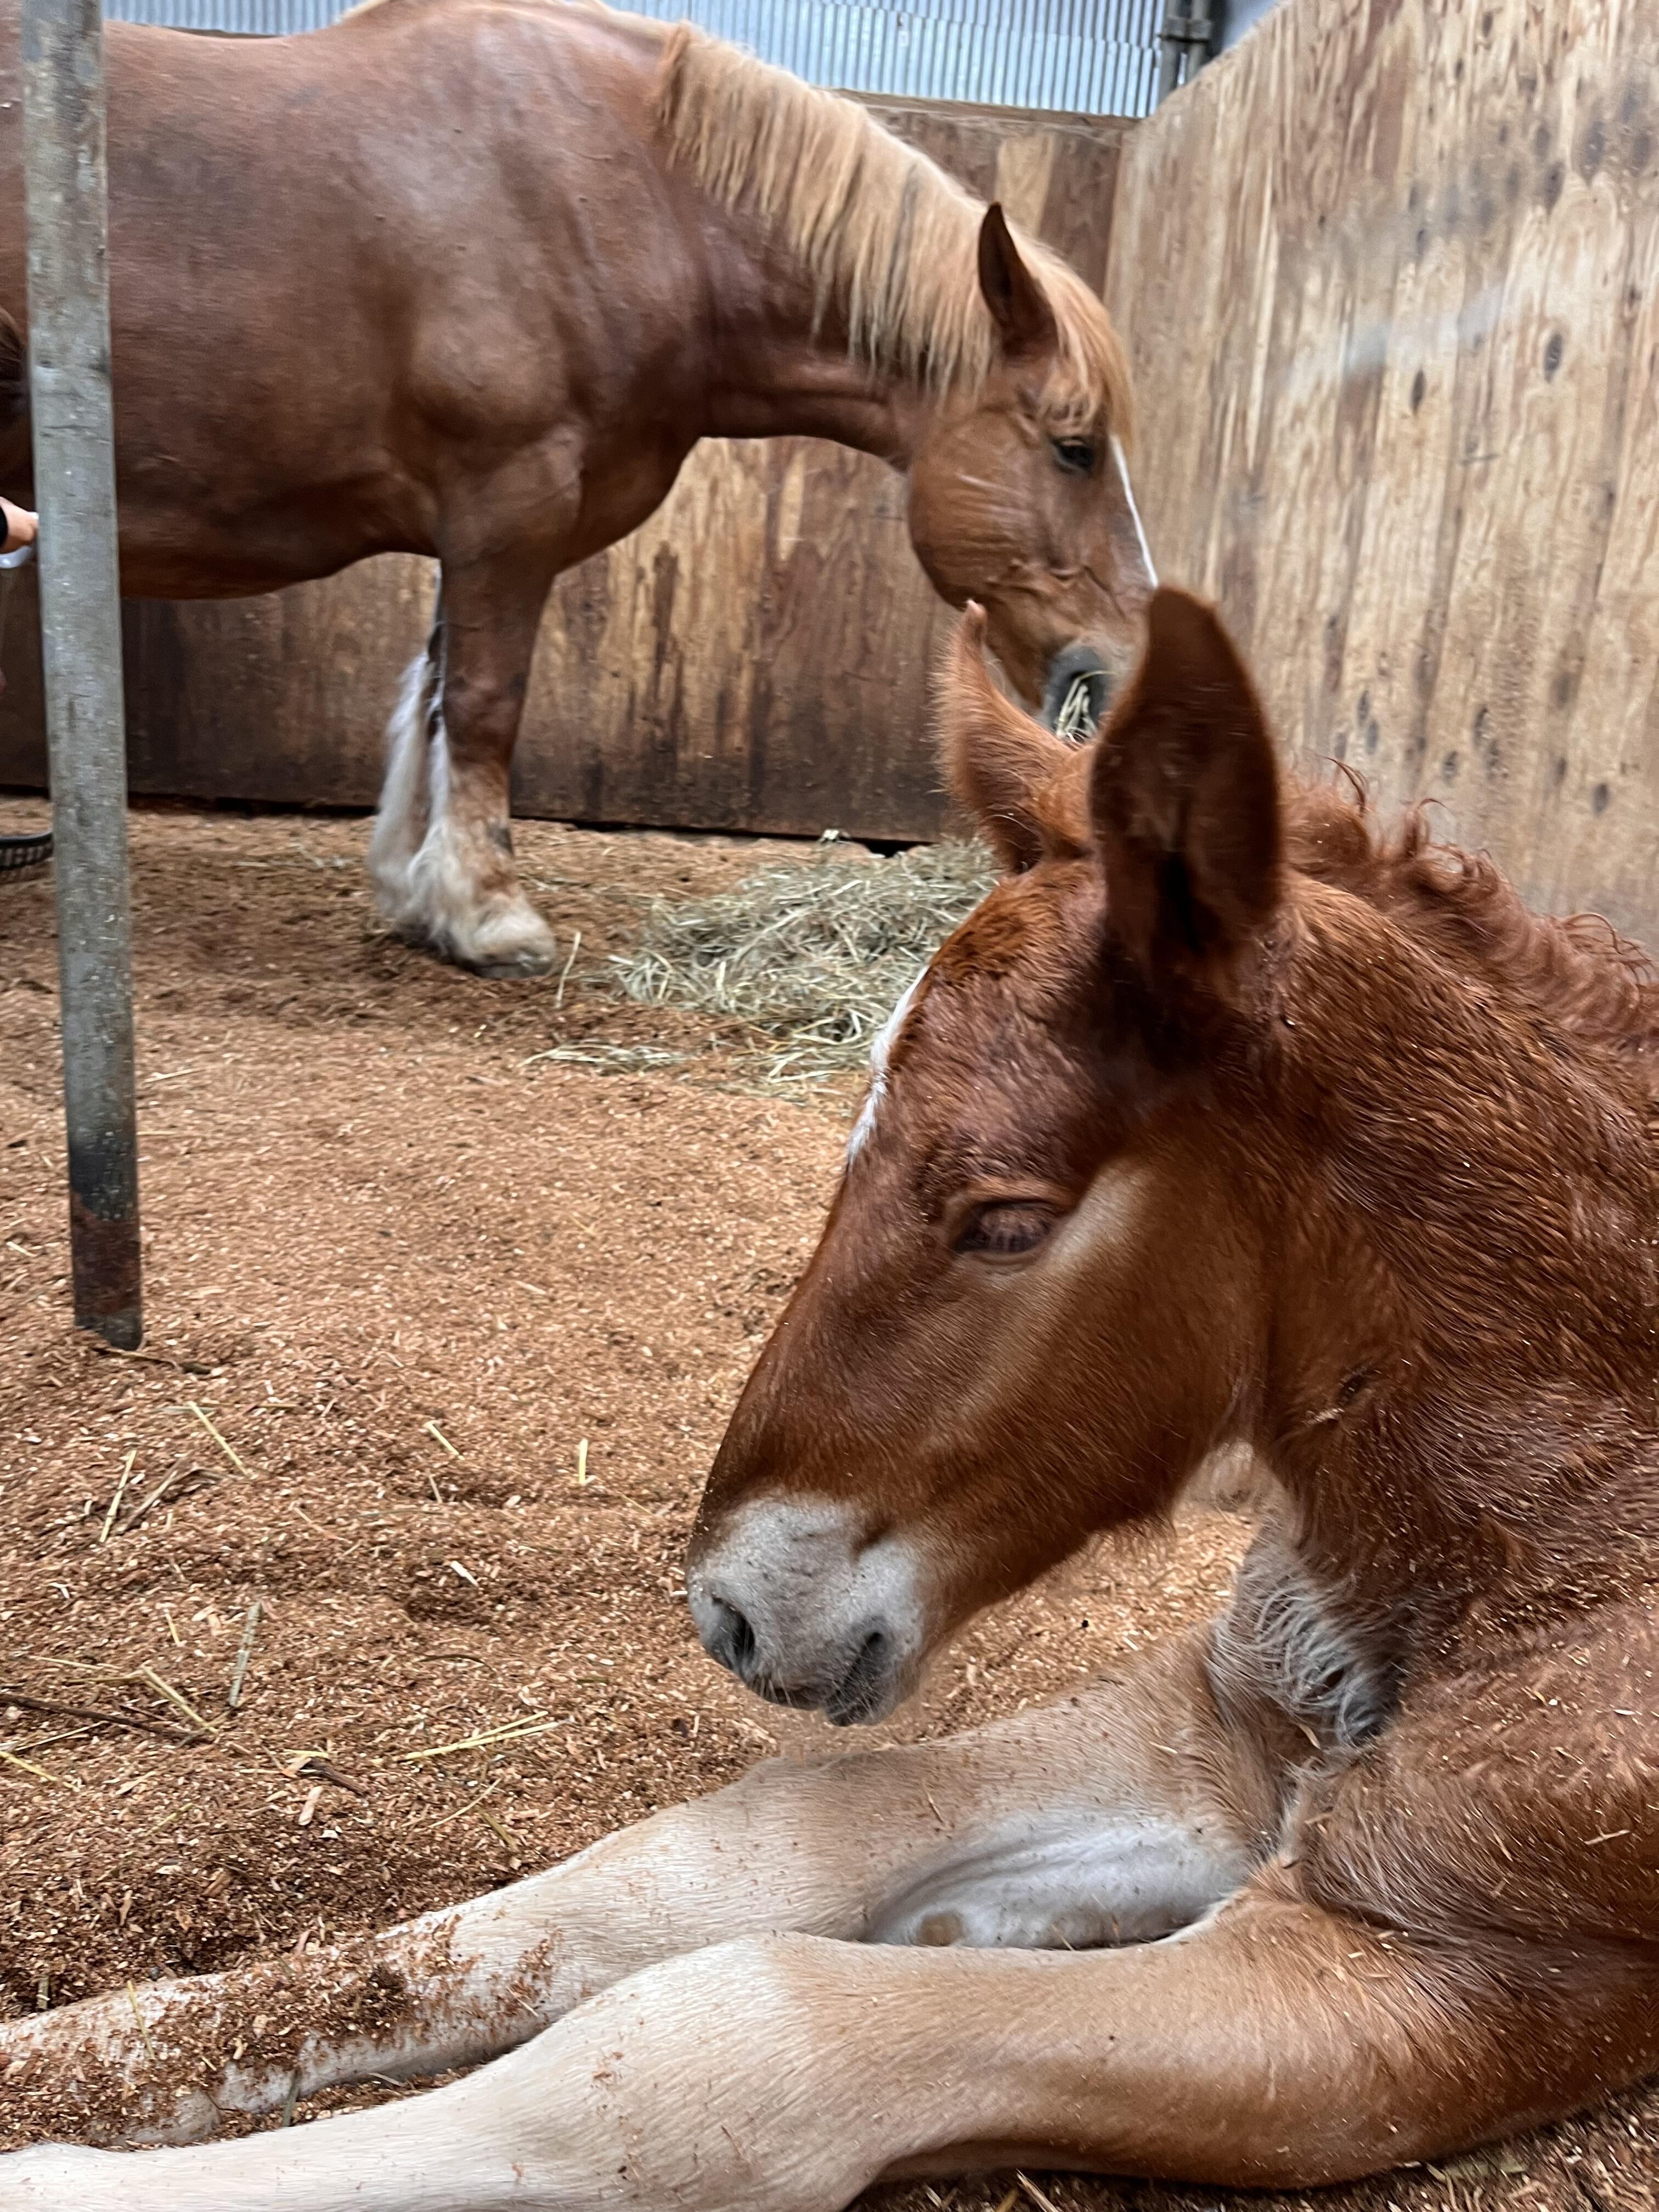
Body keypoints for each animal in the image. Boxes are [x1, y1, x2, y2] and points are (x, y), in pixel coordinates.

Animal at [0, 0, 1153, 977]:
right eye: (1074, 447)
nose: (1116, 669)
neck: (627, 199)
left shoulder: (471, 527)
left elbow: (433, 697)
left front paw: (417, 893)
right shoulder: (507, 505)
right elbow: (482, 700)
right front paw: (486, 913)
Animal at [9, 586, 1659, 2205]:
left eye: (1007, 1218)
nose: (736, 1609)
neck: (1550, 1537)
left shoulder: (1450, 1976)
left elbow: (726, 2040)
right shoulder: (1211, 1725)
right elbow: (730, 1856)